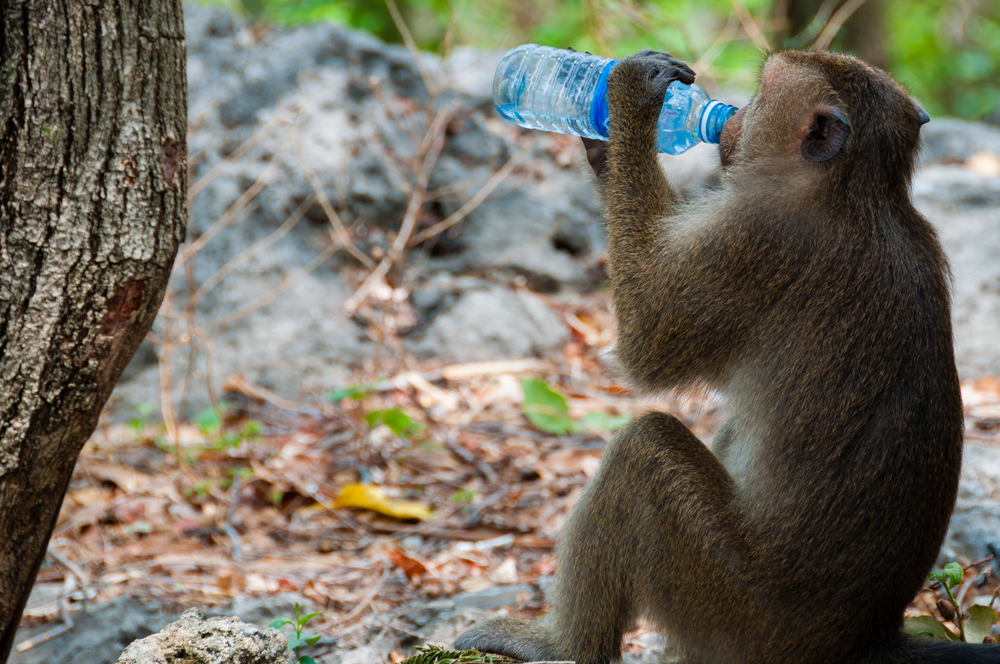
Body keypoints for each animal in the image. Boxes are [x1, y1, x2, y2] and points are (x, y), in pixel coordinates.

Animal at [454, 50, 1000, 664]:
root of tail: (865, 639)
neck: (857, 191)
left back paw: (564, 645)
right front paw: (605, 143)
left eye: (761, 93)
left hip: (736, 609)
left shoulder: (753, 235)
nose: (732, 114)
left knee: (645, 451)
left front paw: (627, 101)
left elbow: (648, 343)